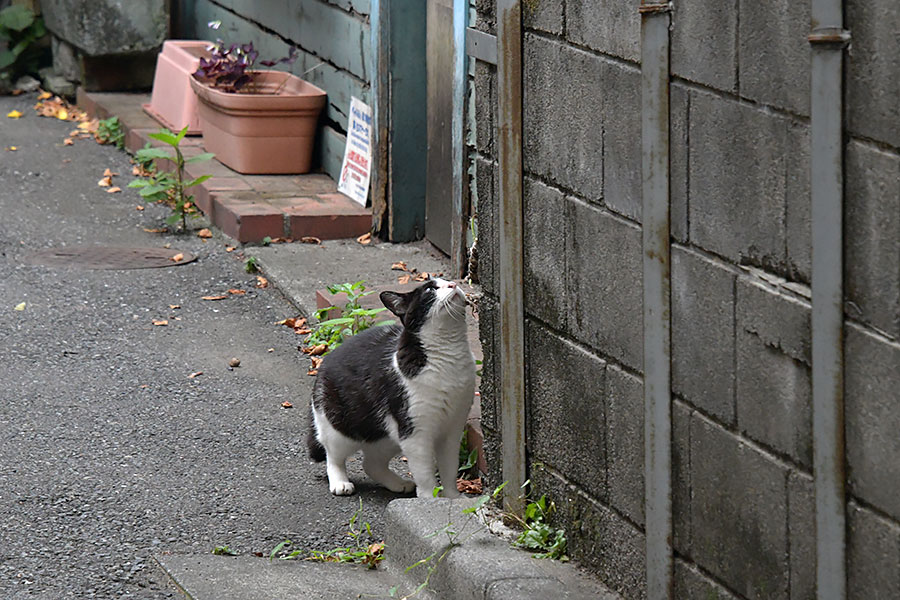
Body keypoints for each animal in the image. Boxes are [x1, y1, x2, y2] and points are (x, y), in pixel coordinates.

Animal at [308, 276, 478, 496]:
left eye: (448, 281)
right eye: (430, 290)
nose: (453, 285)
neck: (450, 356)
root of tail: (324, 362)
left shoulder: (453, 428)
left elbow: (449, 469)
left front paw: (452, 497)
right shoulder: (415, 432)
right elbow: (425, 474)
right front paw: (428, 499)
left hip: (387, 436)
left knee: (371, 464)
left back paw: (398, 484)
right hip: (340, 428)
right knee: (333, 456)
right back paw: (340, 482)